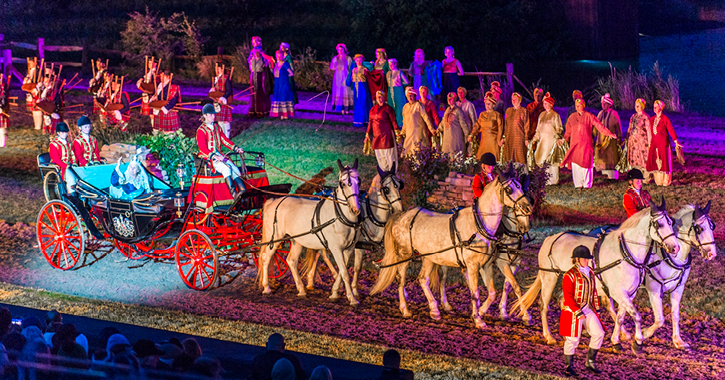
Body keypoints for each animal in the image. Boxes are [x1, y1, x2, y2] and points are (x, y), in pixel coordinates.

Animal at [258, 159, 362, 304]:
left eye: (359, 181)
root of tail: (273, 201)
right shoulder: (336, 249)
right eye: (343, 183)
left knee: (291, 260)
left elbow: (342, 272)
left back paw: (301, 289)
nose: (355, 209)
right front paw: (352, 299)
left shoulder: (349, 249)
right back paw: (266, 287)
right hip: (276, 238)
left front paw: (335, 293)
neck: (339, 216)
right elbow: (345, 273)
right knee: (266, 258)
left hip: (295, 240)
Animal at [298, 165, 402, 298]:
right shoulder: (358, 244)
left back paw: (311, 281)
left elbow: (357, 267)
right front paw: (346, 290)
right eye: (386, 189)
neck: (370, 213)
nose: (399, 209)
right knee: (321, 254)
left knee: (317, 253)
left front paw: (353, 290)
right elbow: (355, 266)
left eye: (399, 185)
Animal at [368, 168, 532, 328]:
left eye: (521, 187)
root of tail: (401, 216)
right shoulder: (474, 266)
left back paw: (435, 310)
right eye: (509, 189)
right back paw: (405, 309)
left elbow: (493, 292)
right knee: (401, 279)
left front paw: (482, 311)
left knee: (423, 279)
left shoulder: (486, 265)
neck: (479, 225)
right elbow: (476, 293)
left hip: (429, 257)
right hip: (404, 255)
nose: (528, 208)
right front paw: (478, 319)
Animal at [516, 197, 680, 352]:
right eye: (659, 224)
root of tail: (550, 239)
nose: (675, 247)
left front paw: (616, 342)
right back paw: (549, 336)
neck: (625, 254)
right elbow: (637, 316)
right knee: (543, 305)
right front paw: (638, 343)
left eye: (671, 222)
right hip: (549, 277)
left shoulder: (628, 294)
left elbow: (621, 317)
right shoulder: (618, 293)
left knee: (564, 302)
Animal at [604, 203, 716, 348]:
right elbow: (660, 319)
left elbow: (675, 315)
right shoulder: (655, 288)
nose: (712, 253)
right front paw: (644, 333)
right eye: (700, 228)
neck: (671, 256)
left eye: (712, 226)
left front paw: (678, 340)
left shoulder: (678, 288)